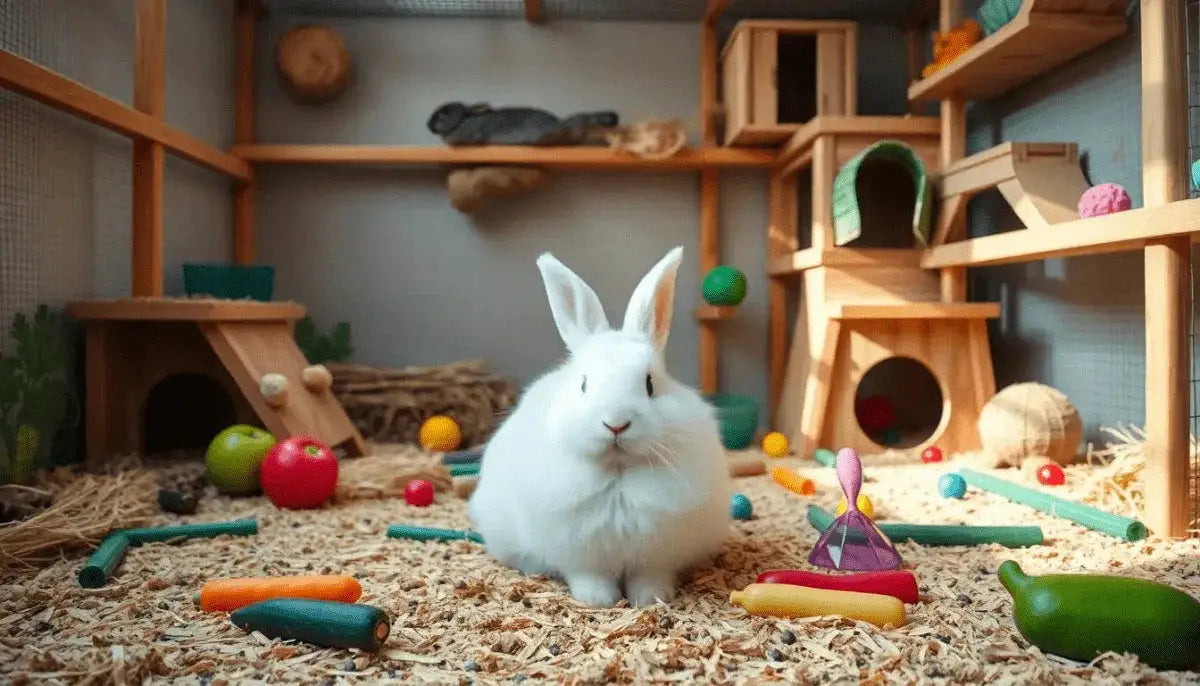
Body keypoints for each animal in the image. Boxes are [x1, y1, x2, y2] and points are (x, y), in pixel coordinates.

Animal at [467, 246, 734, 608]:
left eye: (650, 384)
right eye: (583, 384)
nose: (615, 424)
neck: (618, 472)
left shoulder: (657, 556)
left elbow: (649, 576)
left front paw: (651, 598)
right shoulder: (579, 555)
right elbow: (589, 576)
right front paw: (599, 600)